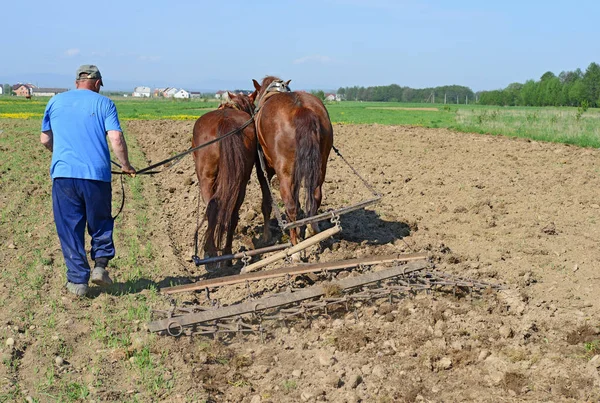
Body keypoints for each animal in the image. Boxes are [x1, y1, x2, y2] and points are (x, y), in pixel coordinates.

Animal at [192, 90, 258, 264]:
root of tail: (225, 121)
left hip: (206, 179)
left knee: (212, 208)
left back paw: (211, 251)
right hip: (240, 182)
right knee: (232, 213)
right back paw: (226, 254)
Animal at [250, 74, 332, 248]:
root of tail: (301, 108)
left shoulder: (263, 170)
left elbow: (266, 203)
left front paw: (266, 237)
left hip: (285, 172)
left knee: (290, 205)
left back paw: (295, 247)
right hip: (320, 166)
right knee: (315, 198)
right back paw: (312, 231)